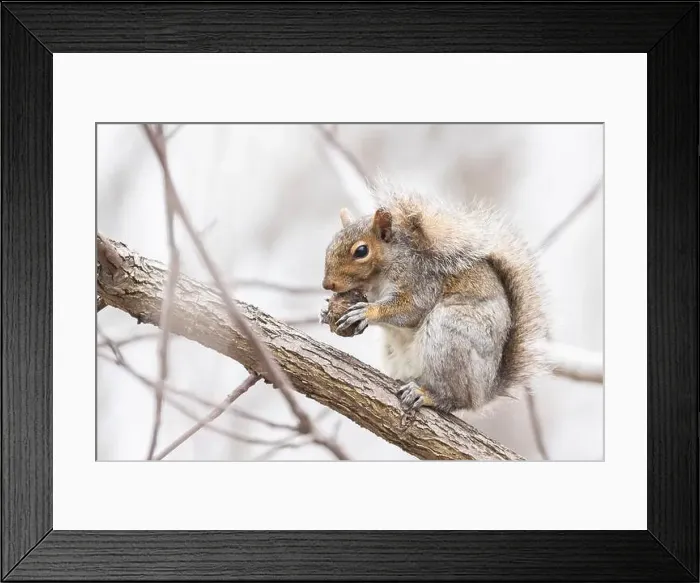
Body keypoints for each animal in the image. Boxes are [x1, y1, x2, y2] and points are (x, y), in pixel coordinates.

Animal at [320, 183, 549, 415]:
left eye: (361, 251)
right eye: (330, 245)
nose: (327, 284)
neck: (378, 278)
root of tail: (485, 392)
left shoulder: (423, 281)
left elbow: (411, 309)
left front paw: (367, 312)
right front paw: (327, 312)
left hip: (449, 336)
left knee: (454, 399)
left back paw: (428, 395)